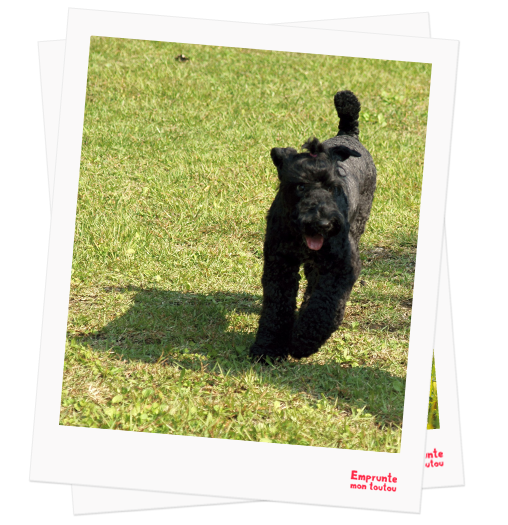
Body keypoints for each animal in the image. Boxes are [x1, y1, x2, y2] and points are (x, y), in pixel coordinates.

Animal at [248, 91, 376, 360]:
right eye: (300, 186)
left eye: (333, 186)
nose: (324, 223)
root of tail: (348, 135)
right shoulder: (279, 264)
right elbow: (277, 307)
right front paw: (268, 347)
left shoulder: (342, 265)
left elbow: (325, 305)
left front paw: (303, 340)